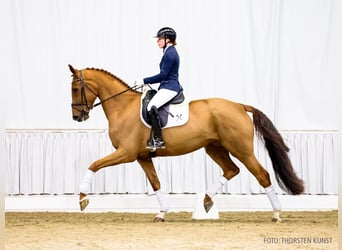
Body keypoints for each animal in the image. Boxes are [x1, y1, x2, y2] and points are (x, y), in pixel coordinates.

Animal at [68, 65, 304, 223]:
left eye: (75, 88)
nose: (77, 117)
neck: (122, 107)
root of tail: (238, 105)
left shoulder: (126, 153)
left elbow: (93, 165)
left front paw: (82, 198)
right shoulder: (142, 157)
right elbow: (156, 183)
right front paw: (162, 213)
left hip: (241, 150)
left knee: (262, 175)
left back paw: (276, 214)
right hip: (214, 147)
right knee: (231, 170)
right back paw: (207, 201)